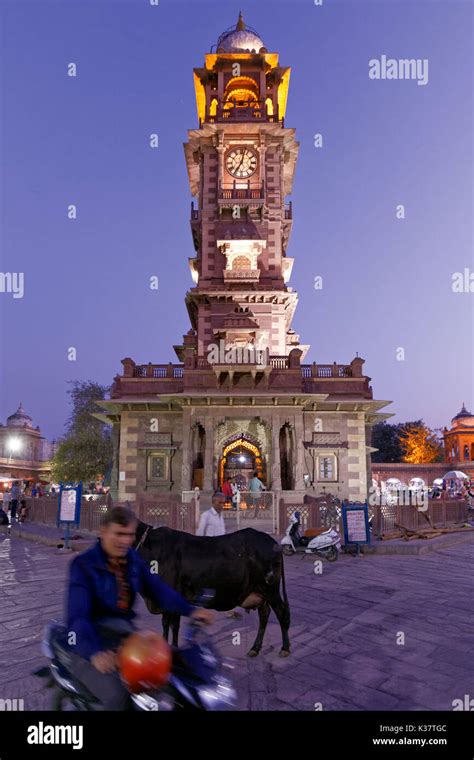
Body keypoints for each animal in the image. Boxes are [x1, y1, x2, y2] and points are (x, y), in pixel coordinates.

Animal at [131, 524, 290, 656]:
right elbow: (173, 625)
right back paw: (255, 649)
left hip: (271, 590)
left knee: (281, 613)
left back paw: (285, 648)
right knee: (264, 614)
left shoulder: (169, 597)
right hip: (261, 592)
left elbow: (169, 624)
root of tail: (272, 542)